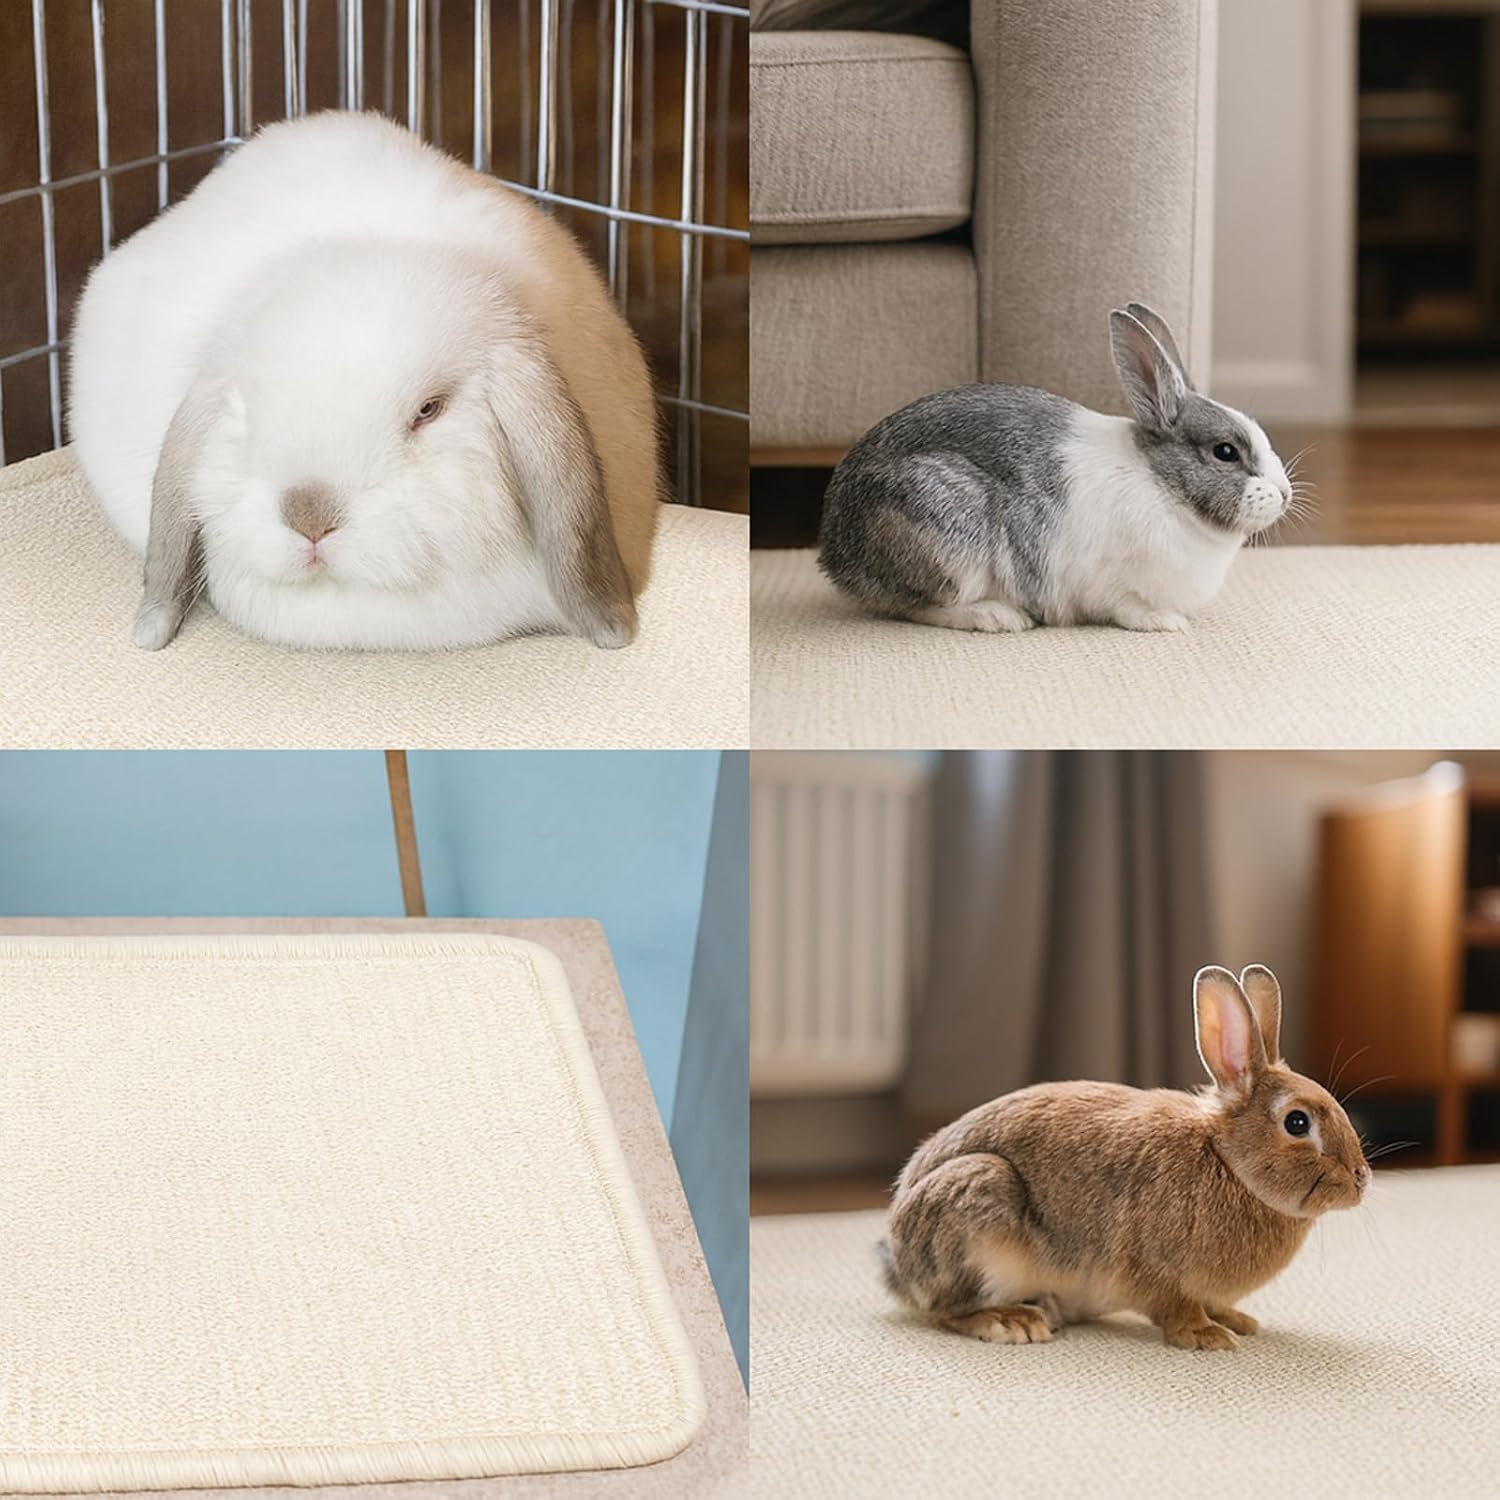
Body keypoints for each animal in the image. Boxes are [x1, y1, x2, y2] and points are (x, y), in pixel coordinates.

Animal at [818, 303, 1292, 633]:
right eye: (1225, 452)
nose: (1285, 494)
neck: (1163, 484)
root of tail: (837, 554)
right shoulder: (1108, 582)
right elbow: (1128, 607)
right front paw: (1165, 623)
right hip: (948, 534)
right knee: (917, 606)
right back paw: (998, 617)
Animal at [880, 965, 1369, 1350]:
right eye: (1297, 1123)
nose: (1361, 1179)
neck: (1226, 1160)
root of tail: (898, 1265)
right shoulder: (1156, 1270)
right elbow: (1176, 1307)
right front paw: (1206, 1336)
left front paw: (1236, 1321)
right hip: (979, 1205)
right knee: (943, 1310)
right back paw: (1011, 1321)